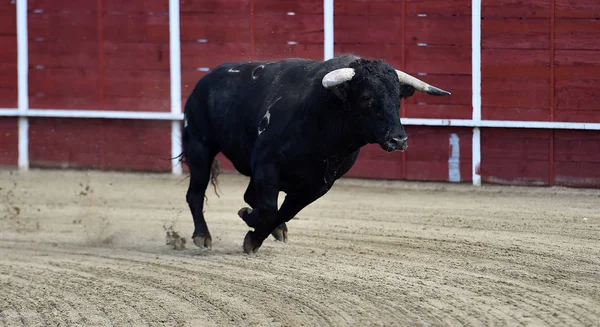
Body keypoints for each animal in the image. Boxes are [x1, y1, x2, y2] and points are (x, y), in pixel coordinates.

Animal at [179, 54, 450, 254]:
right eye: (366, 97)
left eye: (398, 99)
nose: (398, 139)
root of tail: (204, 82)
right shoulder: (267, 167)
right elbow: (269, 209)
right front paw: (250, 225)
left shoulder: (319, 184)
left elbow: (283, 212)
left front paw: (255, 234)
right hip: (200, 147)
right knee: (195, 194)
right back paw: (202, 236)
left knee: (250, 197)